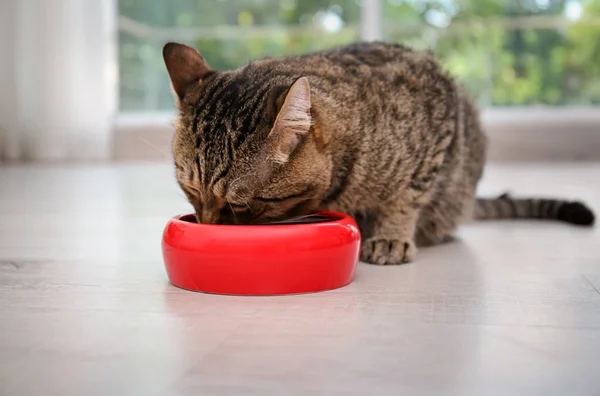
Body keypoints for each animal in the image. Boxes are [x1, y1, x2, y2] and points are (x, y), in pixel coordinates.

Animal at [161, 41, 596, 264]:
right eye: (192, 191)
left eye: (240, 205)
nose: (208, 226)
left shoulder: (438, 131)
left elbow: (406, 198)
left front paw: (391, 235)